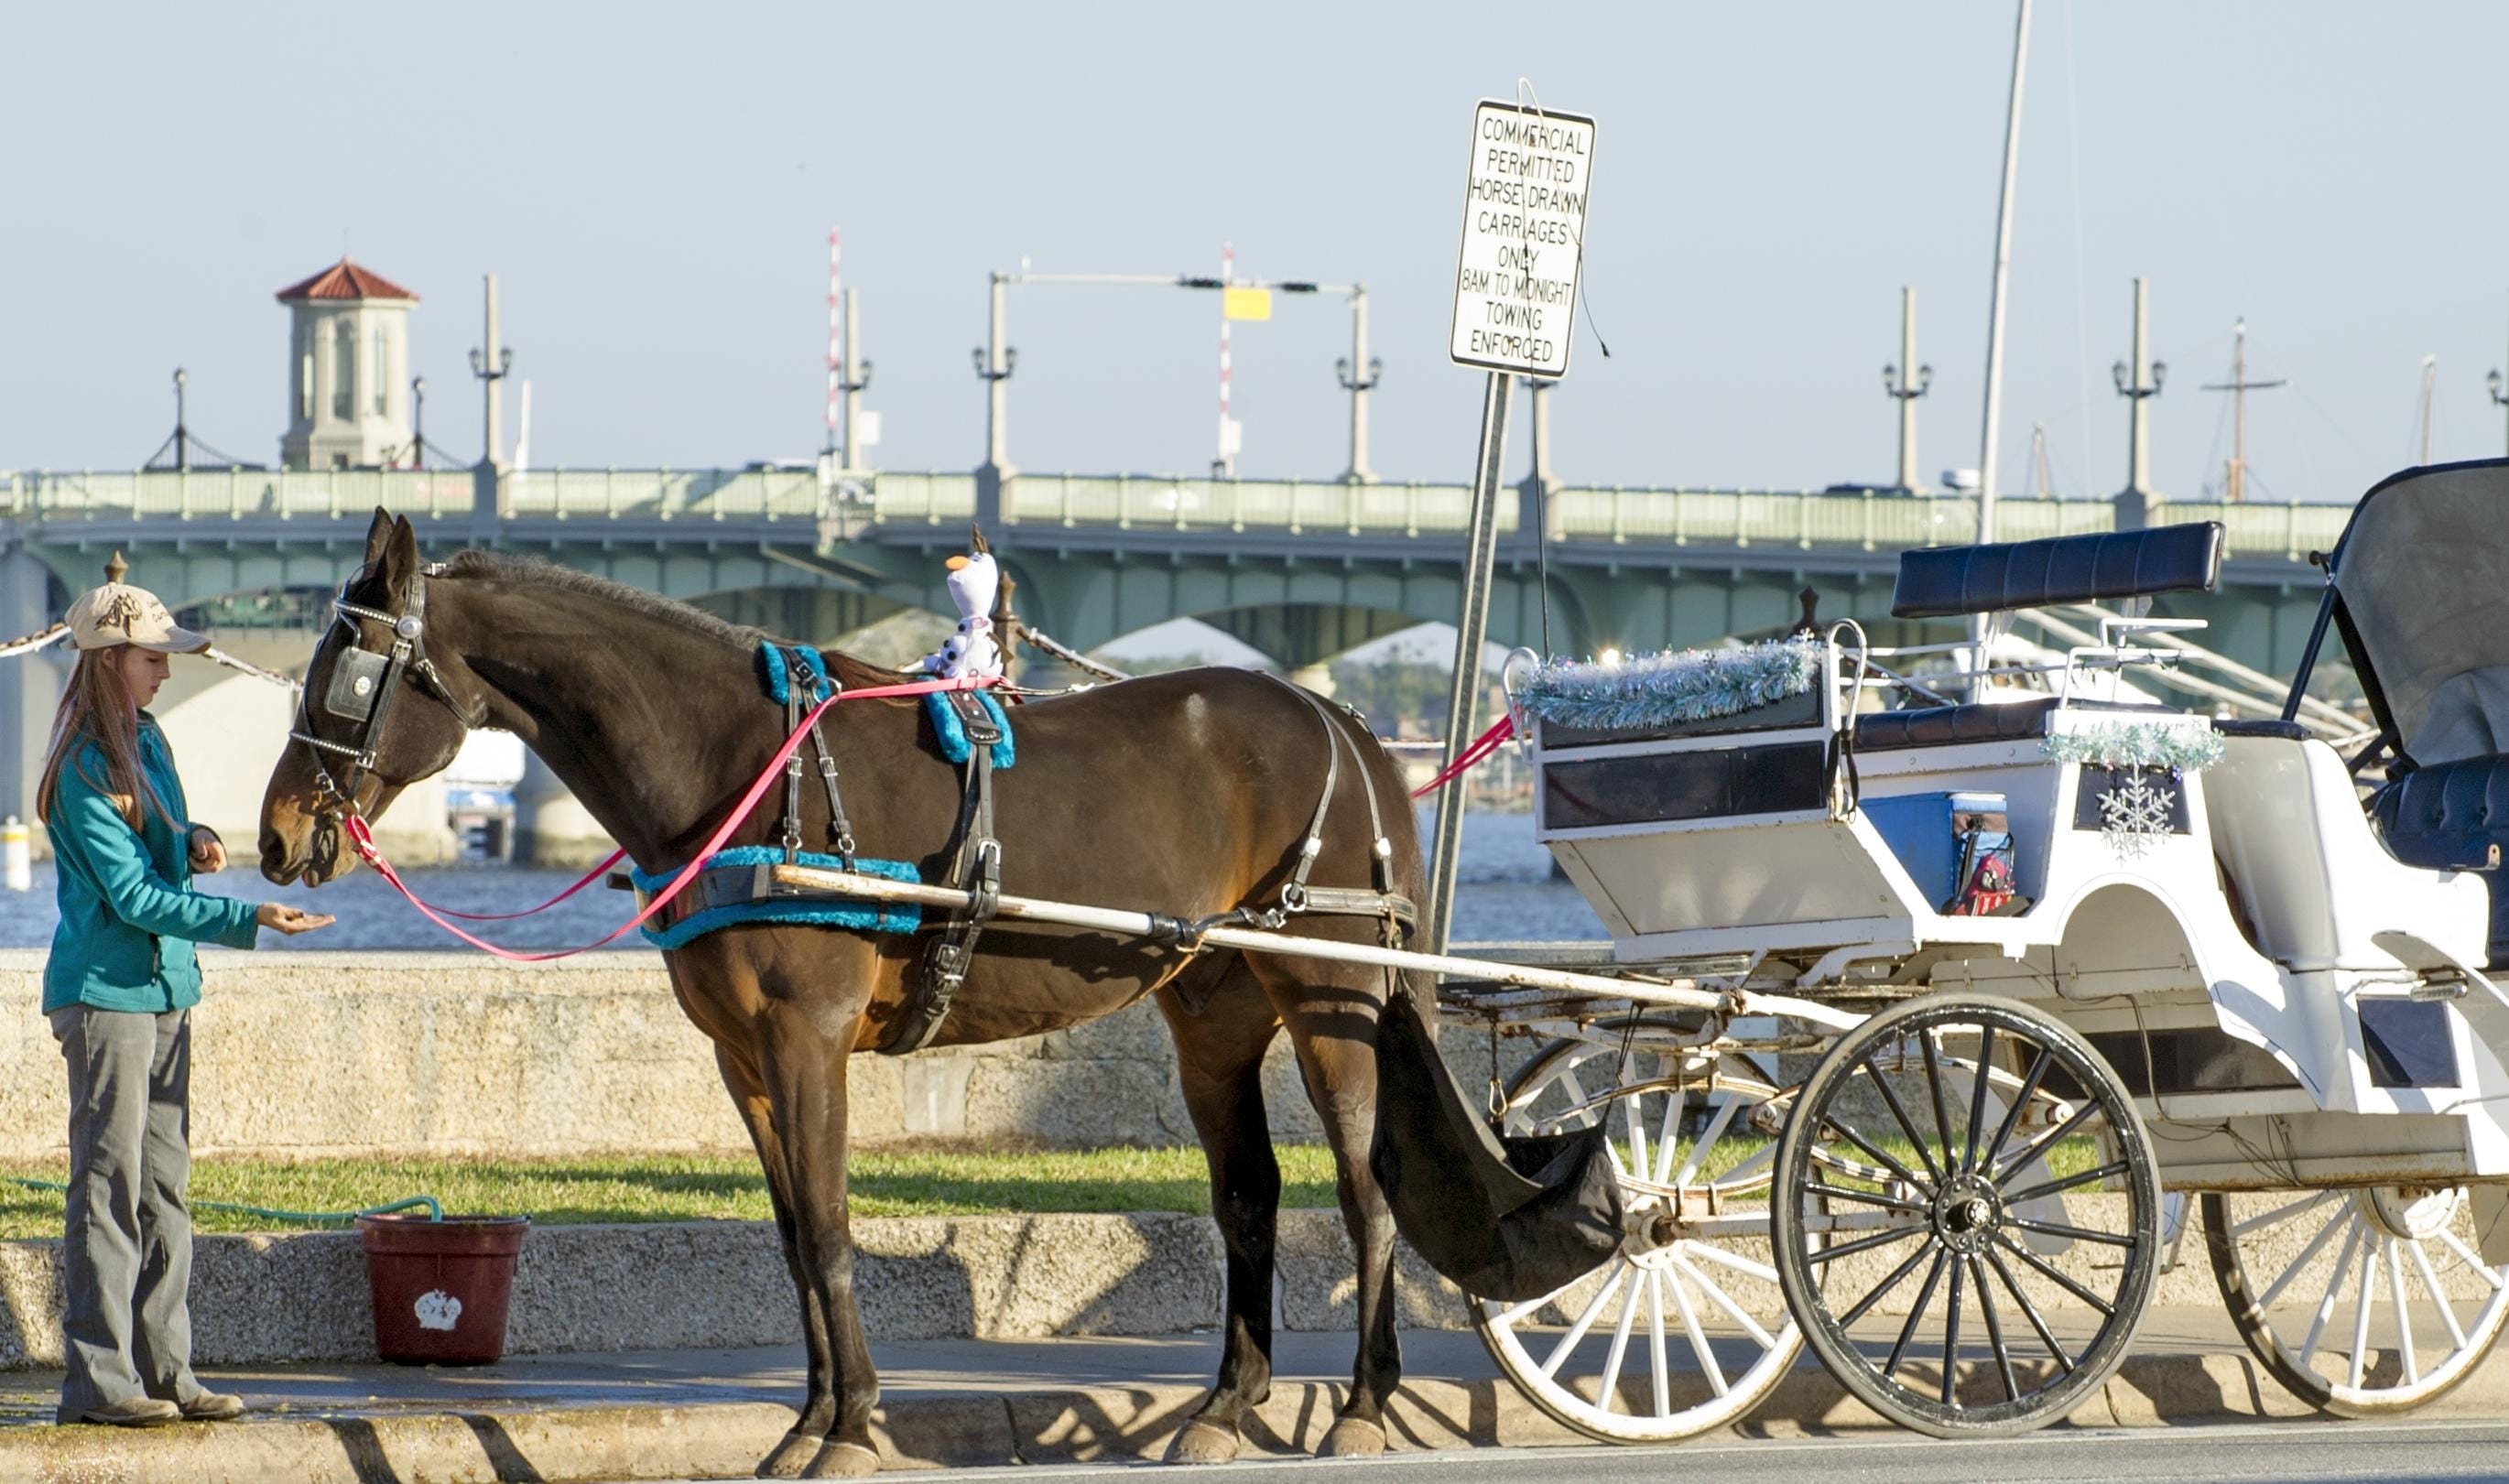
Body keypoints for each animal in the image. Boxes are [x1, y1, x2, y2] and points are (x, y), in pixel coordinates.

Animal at [266, 516, 1435, 1474]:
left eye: (348, 672)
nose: (277, 834)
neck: (745, 770)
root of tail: (1334, 713)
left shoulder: (805, 1034)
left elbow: (828, 1227)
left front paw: (853, 1424)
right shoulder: (742, 1053)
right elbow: (793, 1236)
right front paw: (810, 1417)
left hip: (1331, 991)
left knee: (1366, 1186)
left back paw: (1364, 1402)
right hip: (1215, 1010)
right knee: (1248, 1196)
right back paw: (1227, 1404)